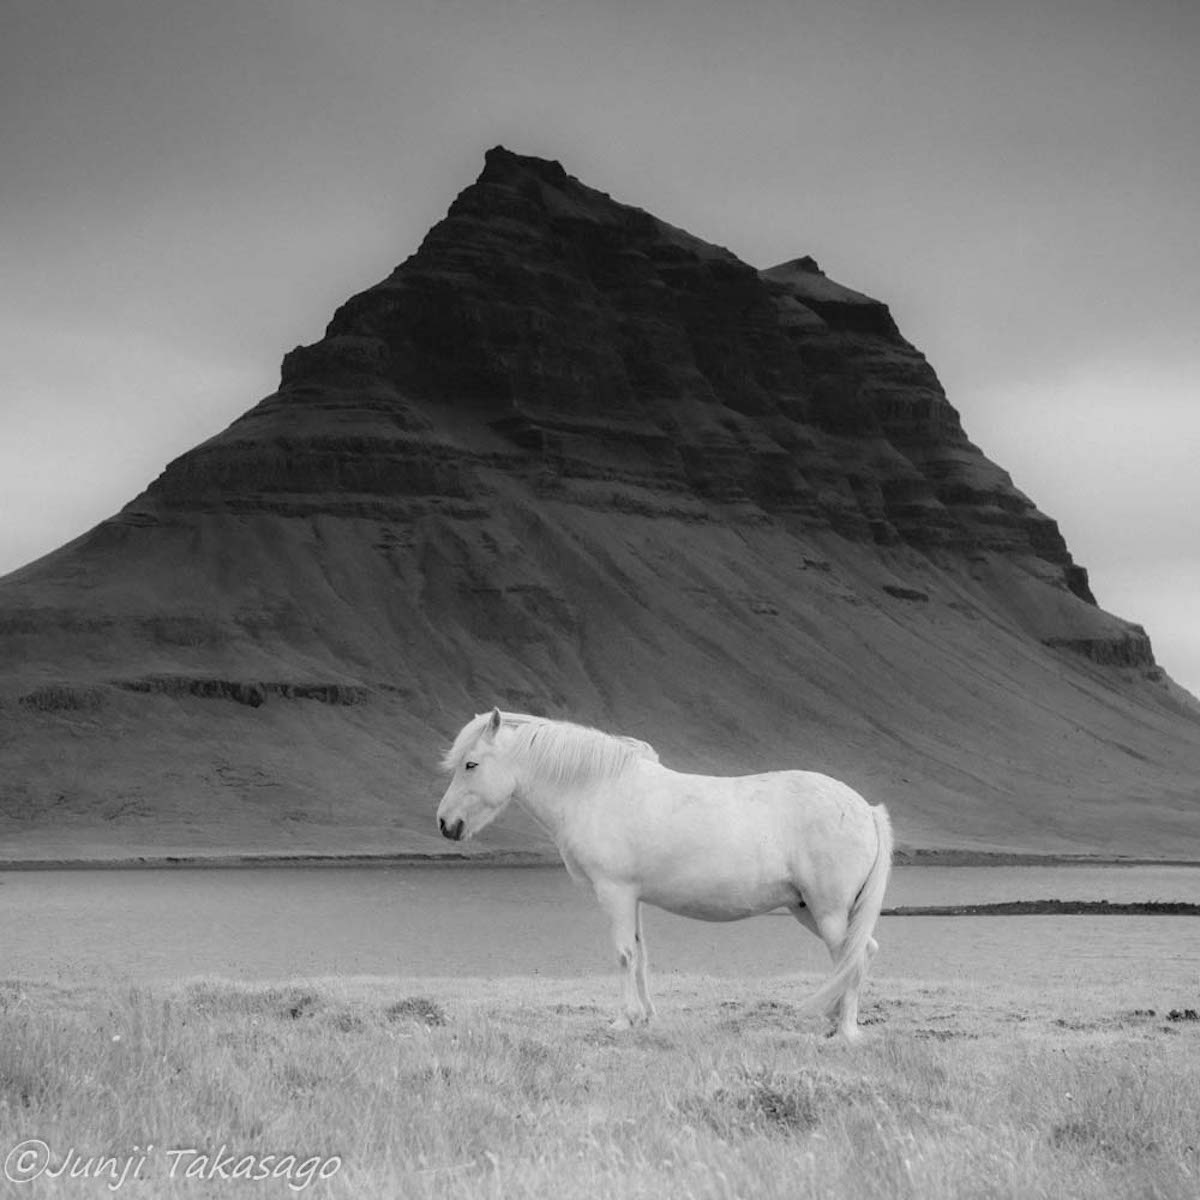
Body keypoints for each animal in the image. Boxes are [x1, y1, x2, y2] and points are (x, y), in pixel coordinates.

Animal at [439, 705, 892, 1036]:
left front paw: (623, 1020)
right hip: (807, 909)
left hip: (828, 911)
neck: (596, 790)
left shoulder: (615, 892)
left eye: (471, 765)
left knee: (852, 955)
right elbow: (640, 956)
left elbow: (624, 955)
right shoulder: (632, 897)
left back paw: (845, 1030)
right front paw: (645, 1017)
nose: (446, 824)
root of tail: (865, 809)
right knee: (859, 952)